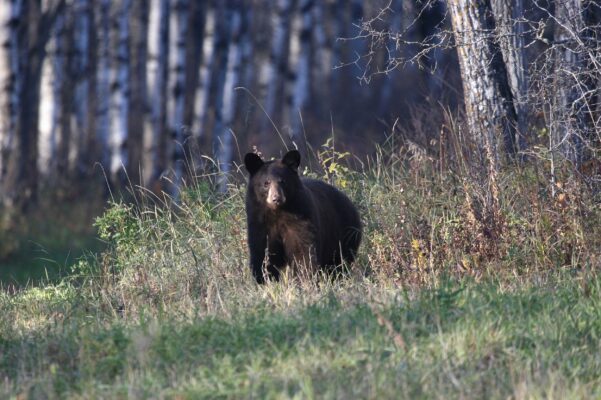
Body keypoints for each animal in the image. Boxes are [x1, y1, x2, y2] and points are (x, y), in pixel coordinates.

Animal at [244, 148, 360, 282]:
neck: (278, 212)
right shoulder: (259, 221)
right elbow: (262, 251)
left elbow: (302, 250)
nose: (276, 198)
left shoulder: (301, 216)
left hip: (345, 233)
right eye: (266, 183)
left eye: (283, 181)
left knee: (339, 262)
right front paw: (263, 279)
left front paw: (306, 278)